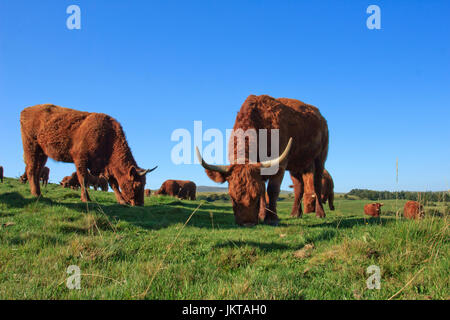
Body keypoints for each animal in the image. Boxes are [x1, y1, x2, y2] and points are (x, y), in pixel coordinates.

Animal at [20, 104, 157, 206]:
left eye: (144, 184)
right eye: (137, 185)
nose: (140, 204)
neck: (108, 137)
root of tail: (26, 110)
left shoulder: (106, 167)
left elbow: (114, 184)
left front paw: (122, 201)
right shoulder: (80, 160)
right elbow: (83, 179)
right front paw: (86, 199)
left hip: (42, 153)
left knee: (37, 171)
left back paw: (38, 193)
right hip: (31, 148)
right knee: (31, 169)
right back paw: (36, 194)